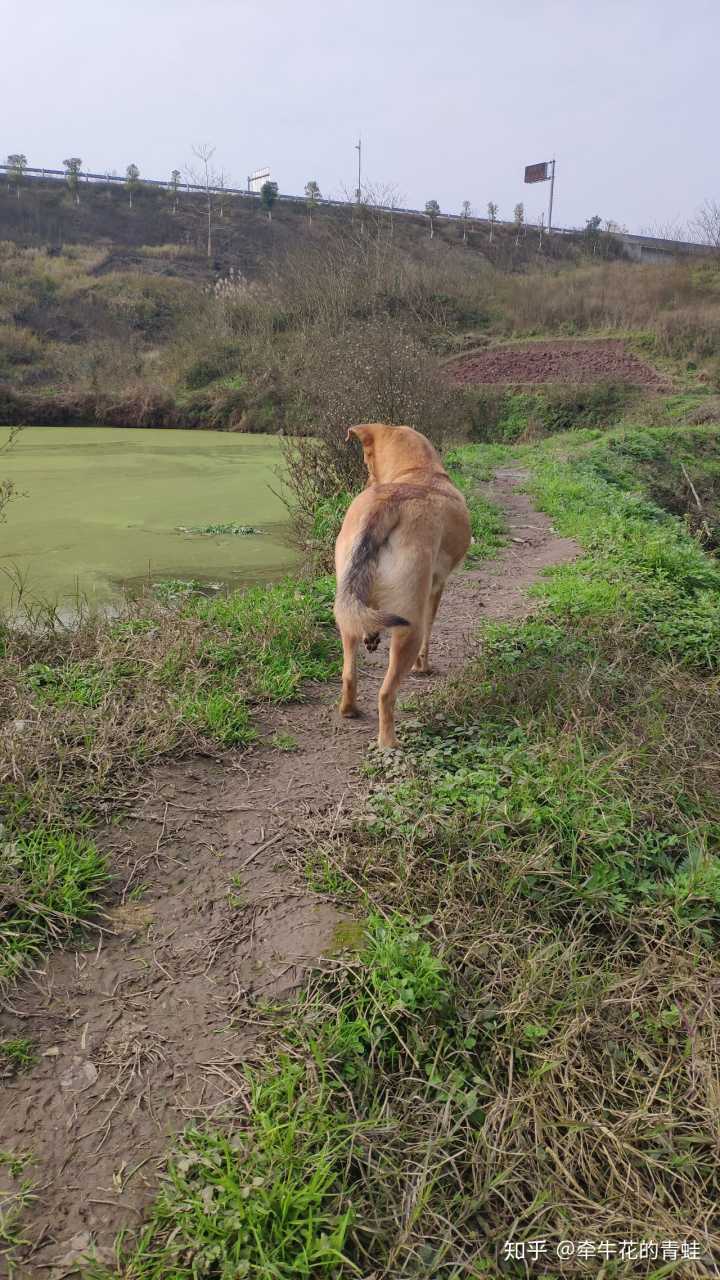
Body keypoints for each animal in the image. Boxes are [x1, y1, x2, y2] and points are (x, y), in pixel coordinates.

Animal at [333, 419, 468, 747]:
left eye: (366, 458)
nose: (368, 482)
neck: (418, 471)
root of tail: (386, 504)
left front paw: (371, 637)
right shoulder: (436, 590)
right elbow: (431, 632)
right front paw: (424, 667)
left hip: (345, 607)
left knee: (349, 672)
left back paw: (349, 709)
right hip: (410, 627)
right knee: (386, 694)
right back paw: (389, 744)